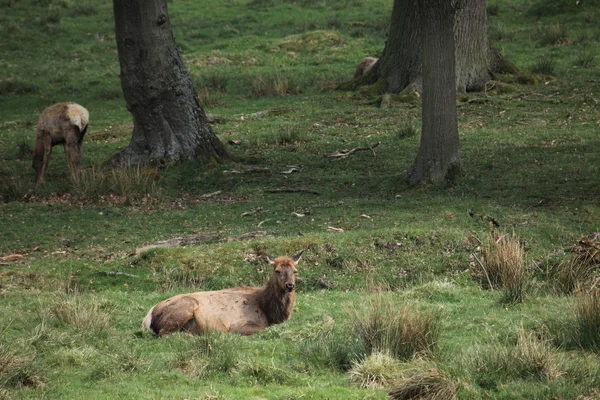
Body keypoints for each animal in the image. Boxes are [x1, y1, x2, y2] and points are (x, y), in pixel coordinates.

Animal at [142, 252, 304, 336]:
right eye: (277, 271)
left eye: (295, 271)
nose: (290, 285)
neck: (269, 312)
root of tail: (148, 317)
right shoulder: (238, 325)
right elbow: (264, 328)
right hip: (187, 305)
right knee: (164, 334)